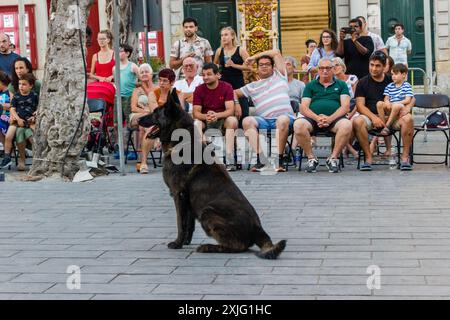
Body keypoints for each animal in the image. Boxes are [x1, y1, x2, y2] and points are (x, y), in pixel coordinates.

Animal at [139, 89, 286, 258]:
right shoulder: (188, 200)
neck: (182, 142)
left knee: (238, 246)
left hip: (207, 212)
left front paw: (177, 243)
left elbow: (180, 223)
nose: (138, 119)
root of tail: (257, 228)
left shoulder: (178, 195)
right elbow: (189, 224)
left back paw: (208, 247)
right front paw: (186, 242)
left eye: (155, 112)